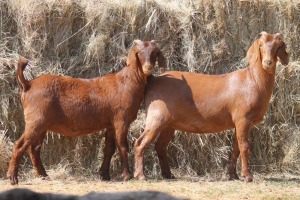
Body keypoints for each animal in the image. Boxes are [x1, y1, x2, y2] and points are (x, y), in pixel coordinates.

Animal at [7, 39, 166, 184]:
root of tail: (28, 84)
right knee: (20, 145)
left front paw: (104, 175)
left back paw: (44, 176)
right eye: (139, 53)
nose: (148, 68)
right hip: (36, 120)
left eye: (155, 53)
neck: (127, 82)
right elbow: (123, 146)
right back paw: (13, 178)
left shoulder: (110, 124)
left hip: (42, 124)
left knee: (34, 148)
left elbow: (109, 148)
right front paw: (127, 176)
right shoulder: (121, 120)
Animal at [133, 31, 288, 183]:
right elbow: (244, 146)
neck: (253, 80)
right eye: (261, 45)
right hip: (156, 117)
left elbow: (236, 148)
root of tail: (154, 80)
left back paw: (168, 174)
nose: (268, 62)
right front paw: (247, 176)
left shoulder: (239, 123)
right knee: (140, 143)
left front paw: (233, 175)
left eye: (278, 46)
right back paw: (141, 175)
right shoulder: (243, 119)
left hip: (169, 124)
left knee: (160, 146)